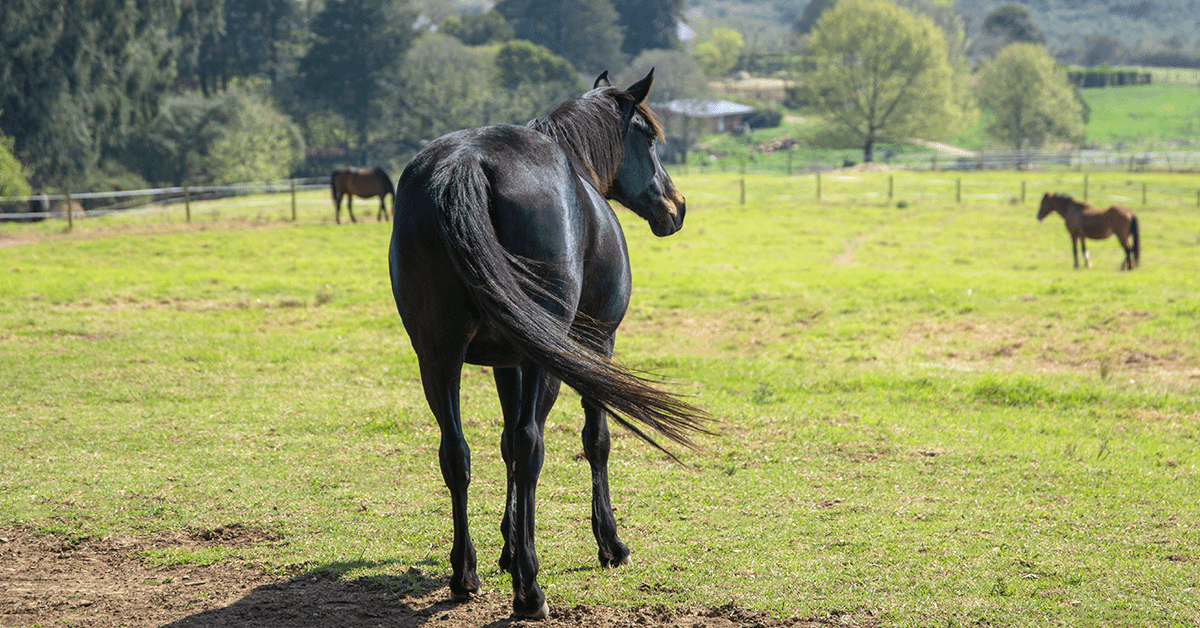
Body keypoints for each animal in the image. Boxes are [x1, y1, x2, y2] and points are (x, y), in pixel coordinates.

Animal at [388, 69, 710, 619]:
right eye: (648, 138)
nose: (677, 206)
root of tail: (463, 165)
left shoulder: (506, 362)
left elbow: (502, 445)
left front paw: (506, 547)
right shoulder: (594, 346)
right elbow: (592, 440)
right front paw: (608, 543)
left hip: (438, 357)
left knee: (457, 453)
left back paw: (464, 573)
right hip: (544, 354)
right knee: (529, 445)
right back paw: (530, 590)